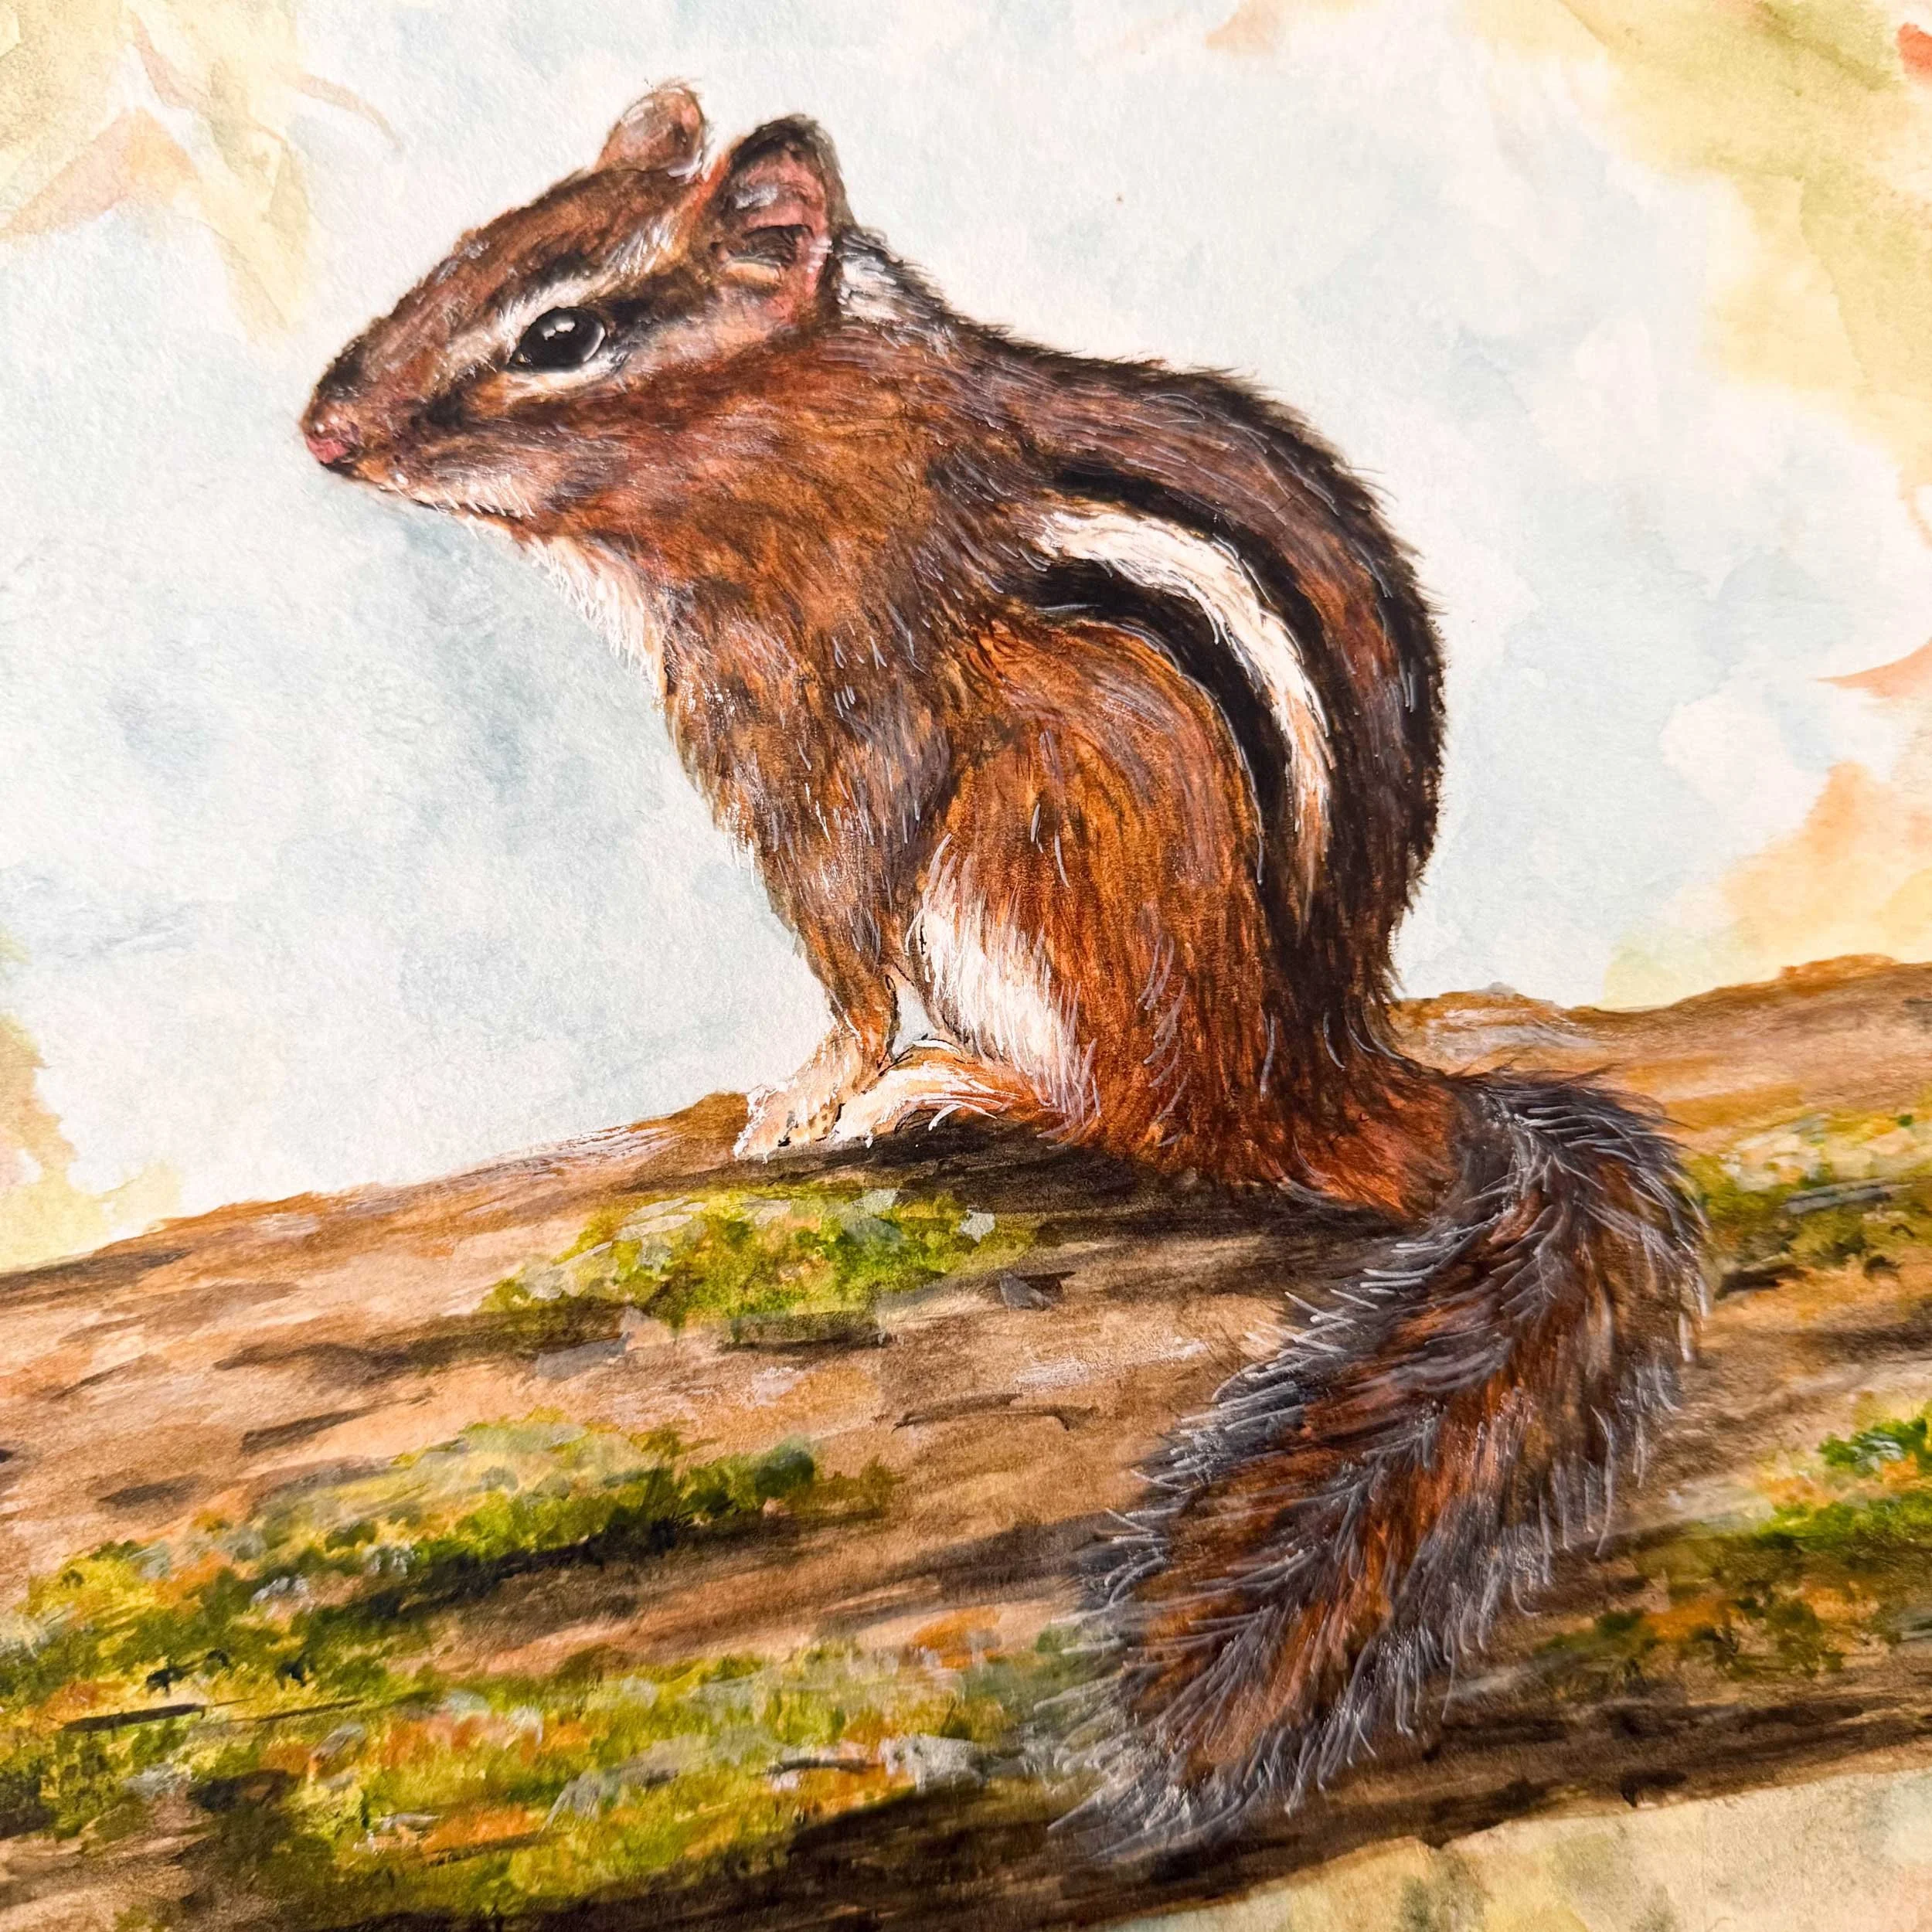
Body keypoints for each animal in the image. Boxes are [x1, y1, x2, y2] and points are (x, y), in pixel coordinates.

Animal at [303, 86, 1704, 1851]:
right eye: (468, 250)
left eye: (561, 333)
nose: (322, 430)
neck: (804, 428)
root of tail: (1309, 1067)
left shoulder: (830, 728)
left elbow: (843, 943)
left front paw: (812, 1093)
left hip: (1033, 852)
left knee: (1133, 1117)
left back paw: (953, 1092)